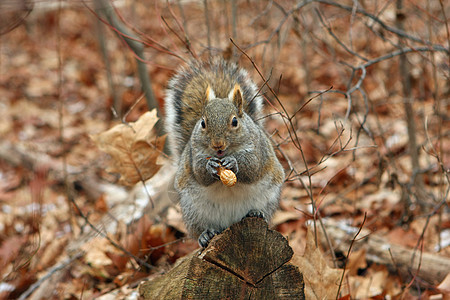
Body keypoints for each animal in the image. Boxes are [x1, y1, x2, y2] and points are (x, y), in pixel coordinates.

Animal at [165, 57, 284, 247]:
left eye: (235, 122)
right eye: (203, 123)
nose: (217, 145)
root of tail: (230, 224)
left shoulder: (258, 150)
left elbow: (253, 168)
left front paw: (233, 163)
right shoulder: (193, 155)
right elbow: (199, 174)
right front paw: (210, 167)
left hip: (269, 198)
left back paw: (256, 213)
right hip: (193, 211)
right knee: (200, 228)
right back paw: (205, 234)